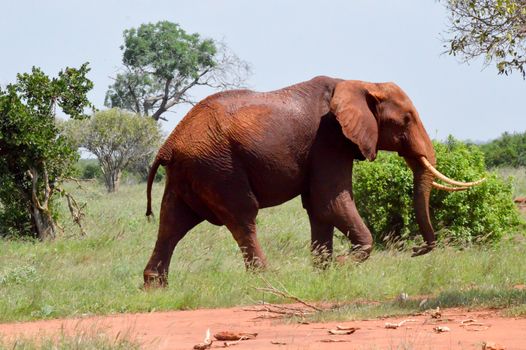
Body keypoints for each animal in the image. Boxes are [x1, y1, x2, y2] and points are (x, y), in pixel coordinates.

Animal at [142, 76, 484, 288]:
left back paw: (155, 287)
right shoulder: (330, 139)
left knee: (172, 222)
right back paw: (267, 279)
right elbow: (329, 201)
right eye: (407, 119)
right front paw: (341, 265)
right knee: (242, 216)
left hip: (191, 172)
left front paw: (323, 272)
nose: (415, 251)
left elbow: (319, 209)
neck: (360, 82)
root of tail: (167, 146)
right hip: (218, 166)